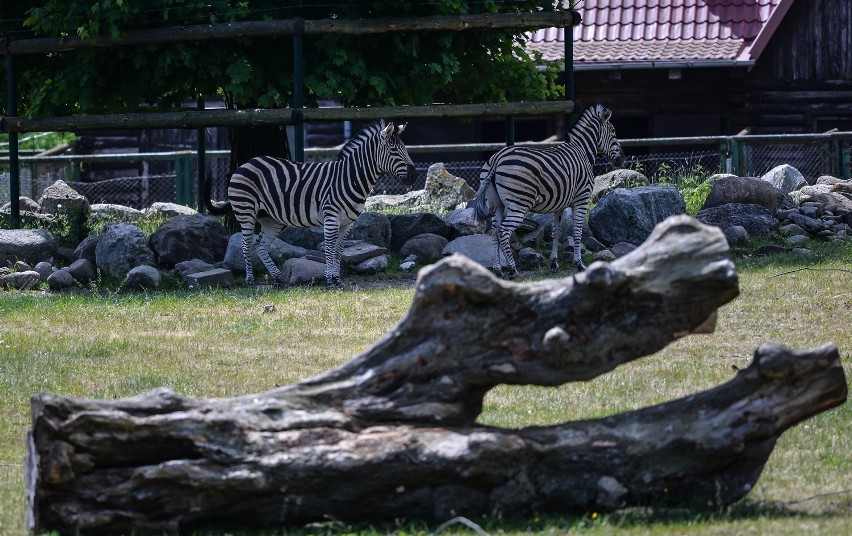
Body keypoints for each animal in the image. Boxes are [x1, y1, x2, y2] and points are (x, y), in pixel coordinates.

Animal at [207, 121, 420, 288]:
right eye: (394, 150)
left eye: (405, 149)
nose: (414, 176)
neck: (350, 178)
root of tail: (246, 163)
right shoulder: (332, 217)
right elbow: (329, 248)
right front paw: (328, 281)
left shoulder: (347, 223)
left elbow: (339, 251)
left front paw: (337, 280)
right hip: (246, 212)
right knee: (246, 245)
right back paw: (250, 280)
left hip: (272, 219)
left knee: (260, 246)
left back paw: (278, 278)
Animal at [472, 105, 624, 280]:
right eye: (613, 131)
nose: (622, 159)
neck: (583, 151)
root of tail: (497, 158)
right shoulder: (582, 199)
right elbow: (577, 232)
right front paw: (579, 264)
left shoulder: (559, 205)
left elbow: (555, 233)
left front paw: (554, 264)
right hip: (519, 205)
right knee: (503, 232)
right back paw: (513, 270)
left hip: (497, 205)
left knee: (494, 232)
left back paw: (498, 270)